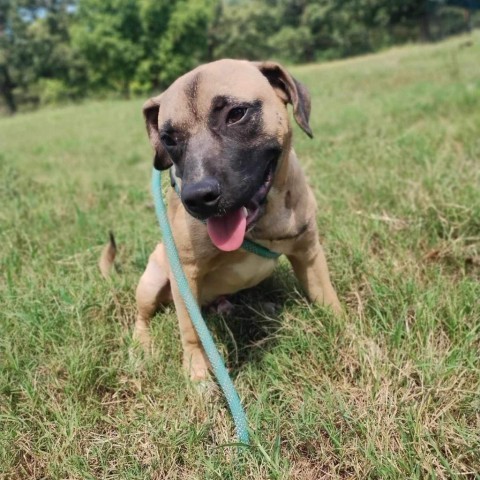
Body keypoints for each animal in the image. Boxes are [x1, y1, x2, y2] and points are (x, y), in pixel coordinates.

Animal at [135, 60, 342, 378]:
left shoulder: (309, 254)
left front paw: (354, 336)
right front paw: (197, 373)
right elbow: (191, 331)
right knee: (141, 315)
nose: (197, 197)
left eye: (236, 114)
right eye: (168, 138)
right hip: (151, 281)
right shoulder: (185, 274)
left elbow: (330, 302)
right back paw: (141, 345)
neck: (261, 223)